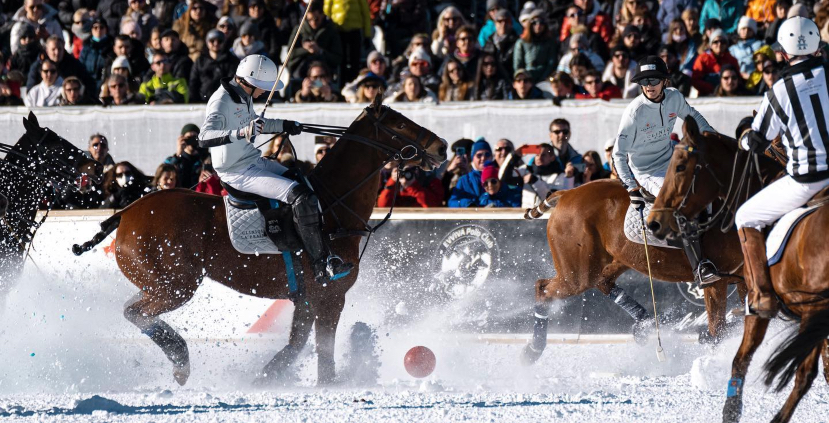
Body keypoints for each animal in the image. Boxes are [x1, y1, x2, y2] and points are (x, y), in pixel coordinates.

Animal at [72, 97, 446, 388]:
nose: (441, 146)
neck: (331, 204)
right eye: (400, 123)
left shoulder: (306, 299)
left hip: (157, 282)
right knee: (136, 313)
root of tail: (126, 212)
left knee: (133, 310)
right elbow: (322, 350)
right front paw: (325, 383)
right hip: (176, 283)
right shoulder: (330, 296)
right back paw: (181, 362)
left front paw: (265, 377)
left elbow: (296, 344)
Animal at [524, 128, 752, 364]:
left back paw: (645, 325)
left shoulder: (743, 279)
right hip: (576, 272)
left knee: (602, 281)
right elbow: (718, 330)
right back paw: (533, 350)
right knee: (545, 288)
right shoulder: (716, 281)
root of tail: (567, 194)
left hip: (618, 257)